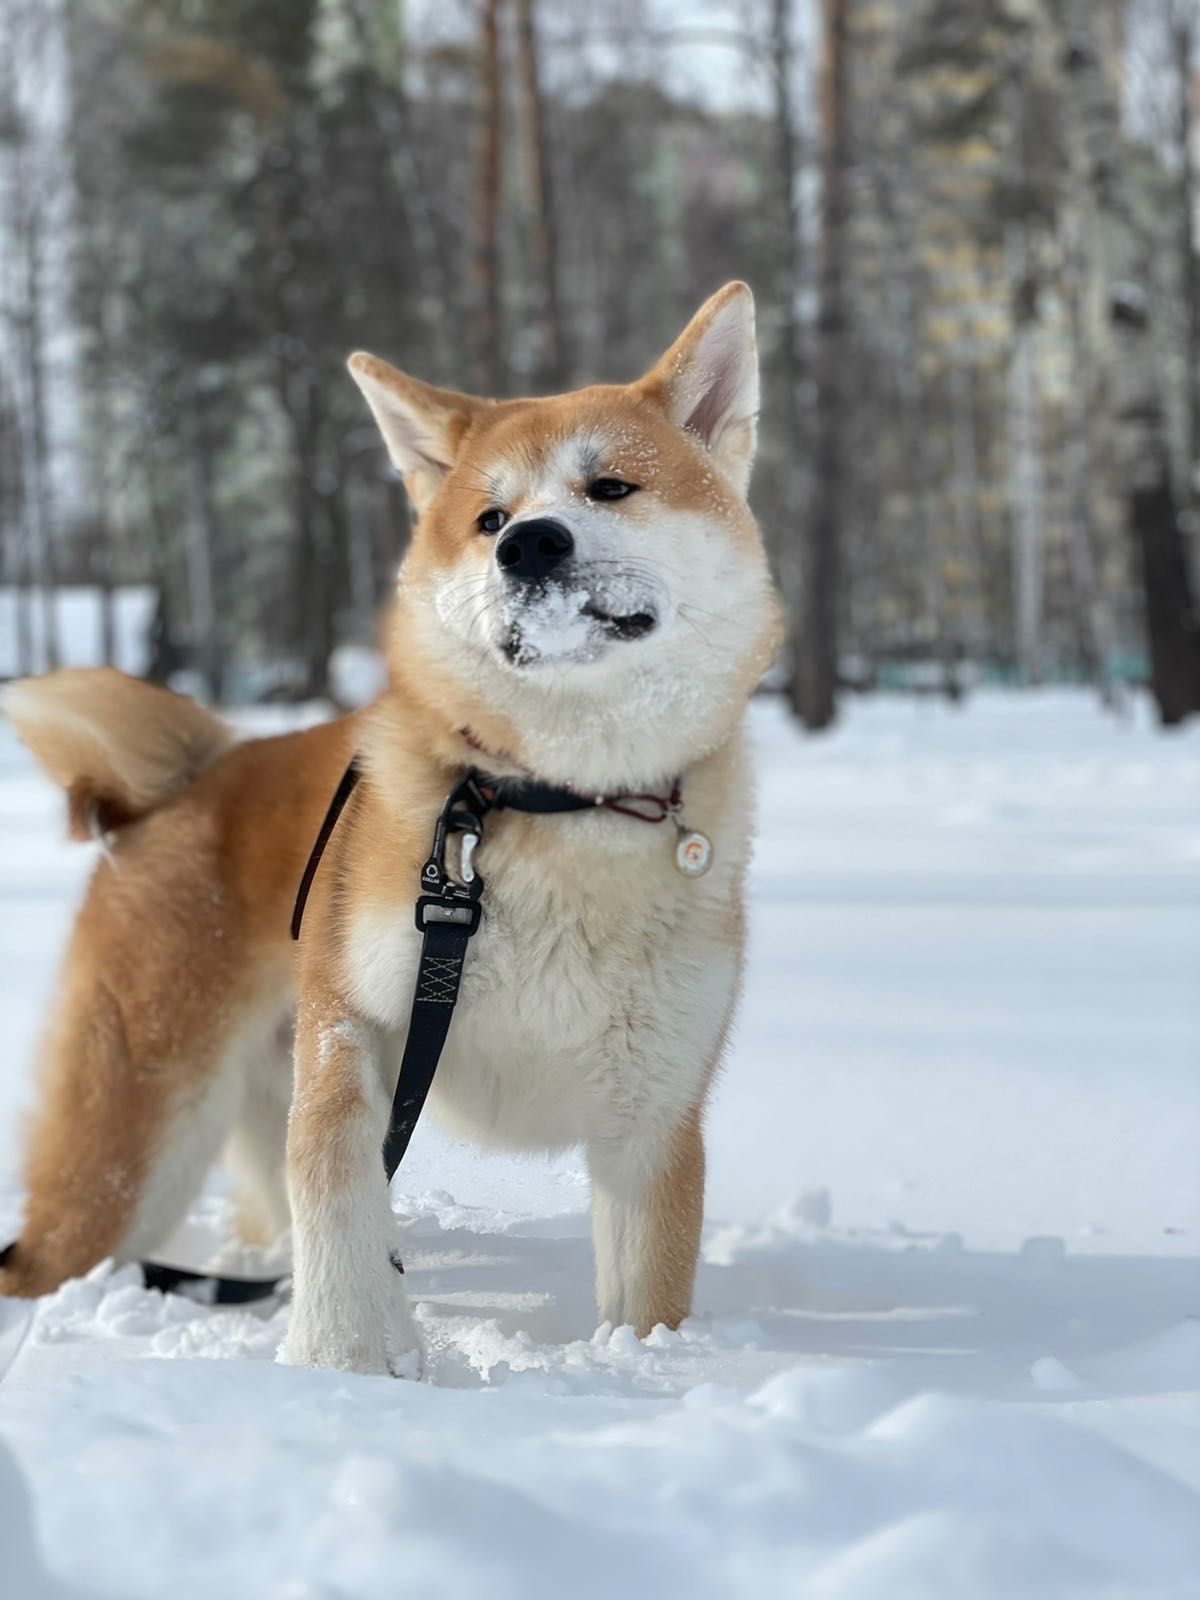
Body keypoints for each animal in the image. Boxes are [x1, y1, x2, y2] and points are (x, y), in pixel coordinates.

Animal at [0, 281, 784, 1369]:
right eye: (489, 516)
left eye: (611, 488)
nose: (529, 543)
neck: (557, 795)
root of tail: (191, 778)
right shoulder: (353, 1017)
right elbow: (337, 1193)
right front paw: (348, 1361)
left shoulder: (656, 1111)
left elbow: (647, 1300)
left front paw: (640, 1368)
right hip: (134, 1147)